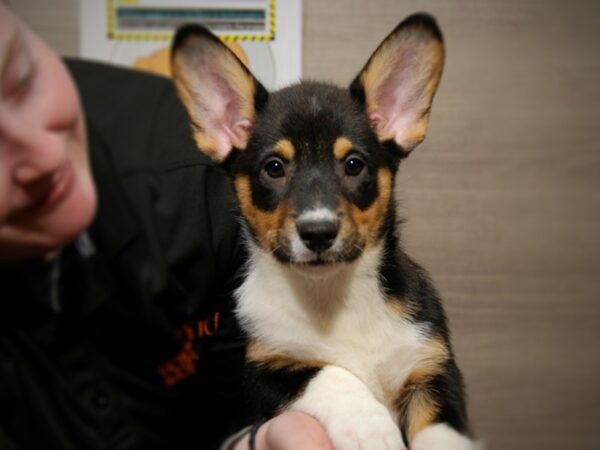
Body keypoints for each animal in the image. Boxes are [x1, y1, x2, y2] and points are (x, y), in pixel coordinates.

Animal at [170, 14, 478, 450]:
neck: (334, 296)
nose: (318, 232)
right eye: (274, 168)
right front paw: (372, 428)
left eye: (353, 164)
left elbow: (442, 433)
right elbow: (329, 374)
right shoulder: (265, 368)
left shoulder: (432, 370)